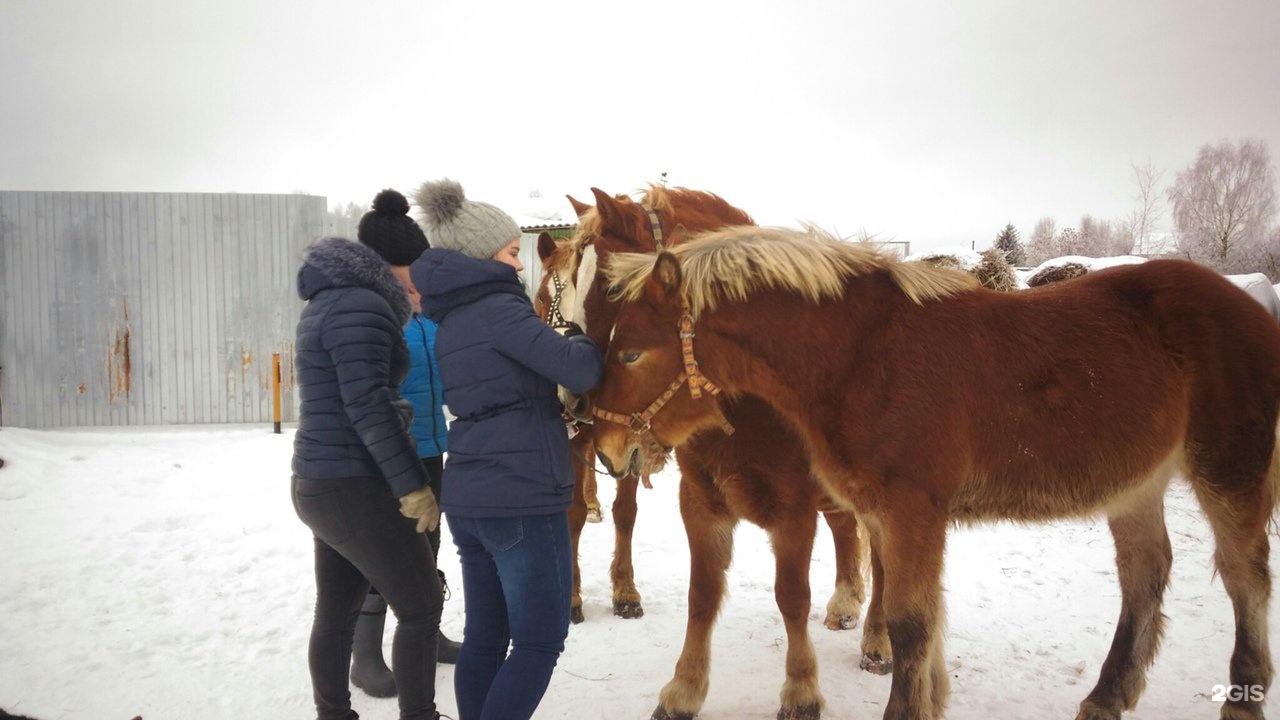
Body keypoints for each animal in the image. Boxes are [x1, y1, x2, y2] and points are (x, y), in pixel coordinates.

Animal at [550, 188, 880, 717]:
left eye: (613, 289)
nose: (570, 398)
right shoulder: (700, 503)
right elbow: (702, 594)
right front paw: (683, 690)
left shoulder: (794, 513)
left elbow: (792, 597)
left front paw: (801, 690)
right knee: (845, 529)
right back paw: (847, 603)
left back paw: (877, 641)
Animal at [588, 226, 1280, 717]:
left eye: (631, 352)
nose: (605, 449)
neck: (862, 357)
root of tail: (1255, 312)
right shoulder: (885, 514)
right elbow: (913, 618)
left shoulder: (911, 511)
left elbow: (909, 624)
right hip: (1135, 484)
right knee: (1145, 576)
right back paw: (1105, 699)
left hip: (1229, 473)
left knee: (1245, 580)